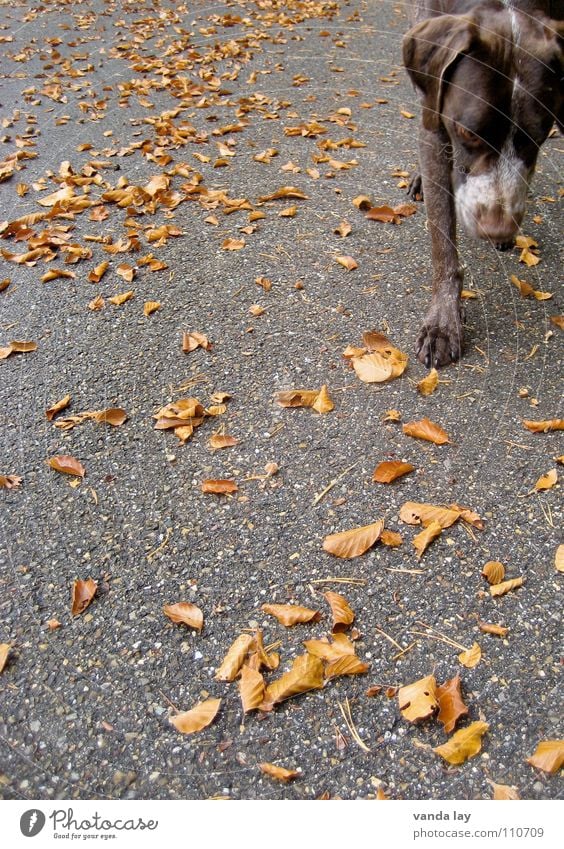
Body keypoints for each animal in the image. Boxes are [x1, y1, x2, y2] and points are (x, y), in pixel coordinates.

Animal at [404, 0, 560, 364]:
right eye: (467, 132)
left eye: (538, 136)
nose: (497, 229)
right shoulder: (437, 131)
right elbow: (443, 242)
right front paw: (443, 323)